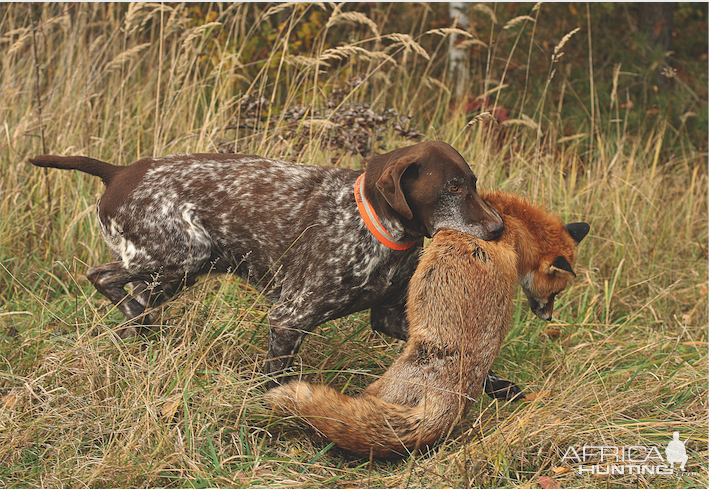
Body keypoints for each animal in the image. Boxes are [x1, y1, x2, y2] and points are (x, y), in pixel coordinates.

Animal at [29, 141, 504, 386]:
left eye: (473, 182)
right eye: (454, 186)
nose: (499, 228)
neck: (377, 228)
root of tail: (119, 171)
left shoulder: (389, 317)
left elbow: (459, 356)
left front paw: (498, 387)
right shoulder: (288, 319)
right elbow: (277, 380)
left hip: (174, 273)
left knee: (134, 297)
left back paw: (140, 330)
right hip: (182, 256)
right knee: (101, 275)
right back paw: (133, 317)